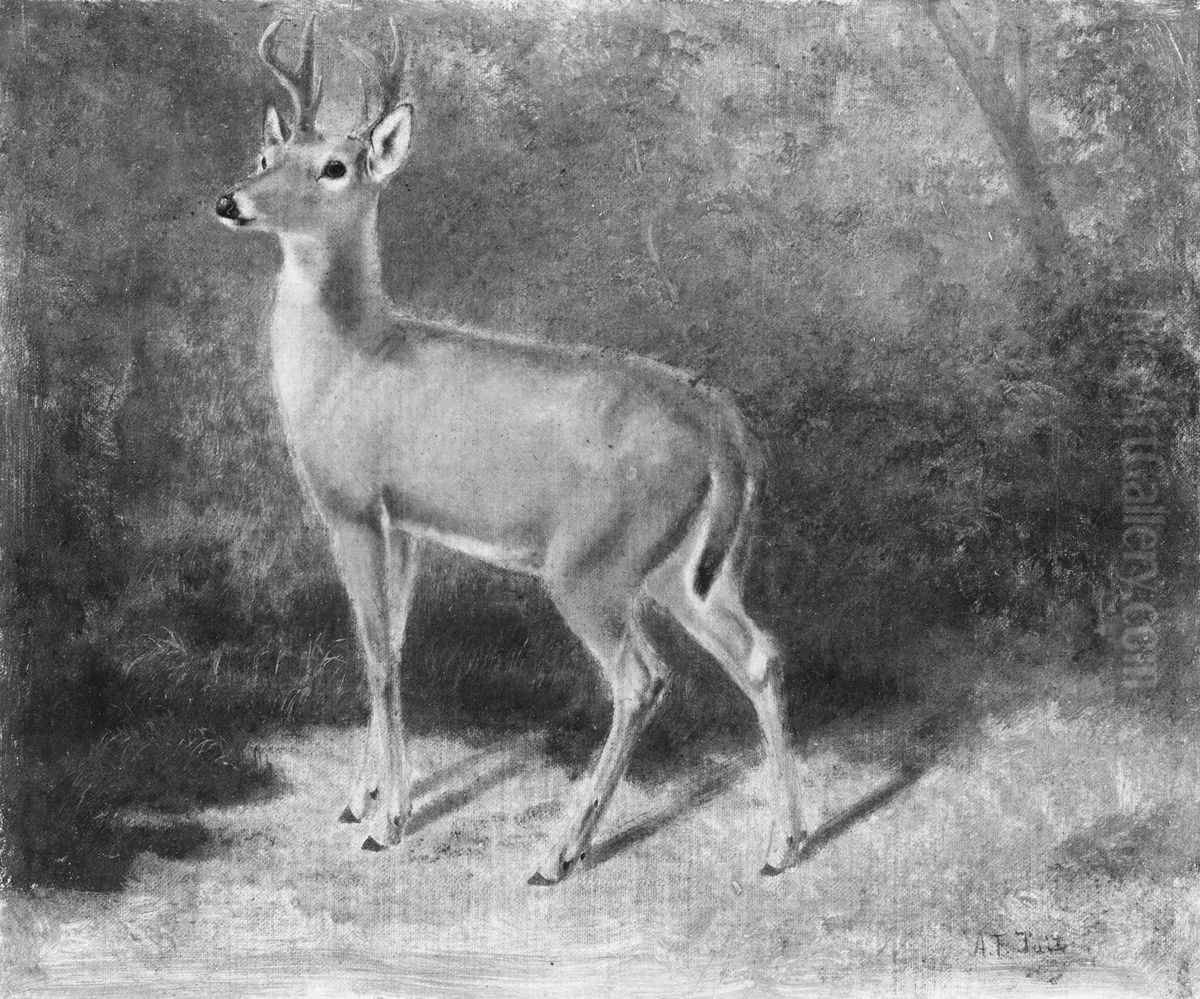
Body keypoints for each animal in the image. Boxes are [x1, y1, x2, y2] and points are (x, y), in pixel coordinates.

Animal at [214, 16, 807, 884]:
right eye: (267, 157)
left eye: (335, 167)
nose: (232, 201)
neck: (354, 362)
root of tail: (724, 429)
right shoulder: (408, 523)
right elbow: (395, 641)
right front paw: (361, 796)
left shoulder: (352, 504)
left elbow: (376, 654)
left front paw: (388, 820)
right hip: (696, 567)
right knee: (760, 653)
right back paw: (783, 843)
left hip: (592, 562)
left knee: (643, 679)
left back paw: (559, 851)